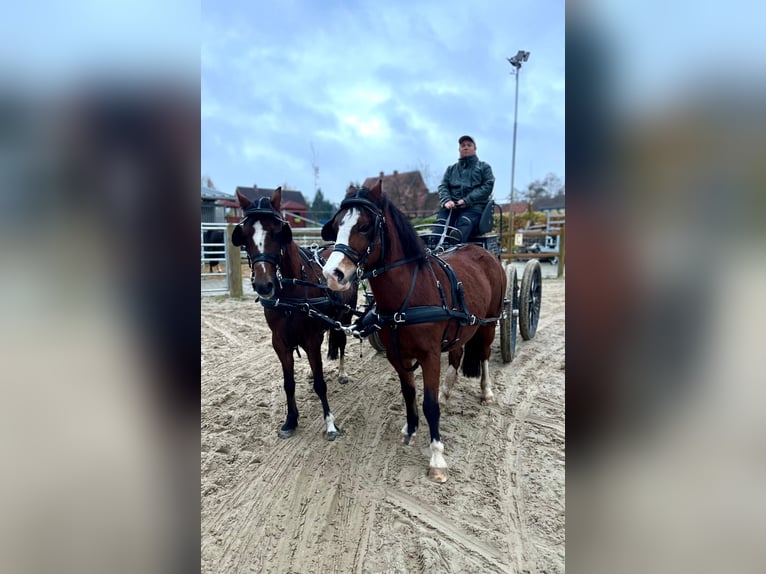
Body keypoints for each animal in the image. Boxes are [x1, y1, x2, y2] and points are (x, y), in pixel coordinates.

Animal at [232, 188, 358, 440]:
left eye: (277, 232)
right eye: (245, 235)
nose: (264, 285)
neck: (291, 295)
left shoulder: (311, 339)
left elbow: (320, 383)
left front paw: (330, 424)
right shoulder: (279, 342)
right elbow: (288, 383)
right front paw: (290, 420)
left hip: (345, 318)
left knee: (341, 343)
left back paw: (341, 372)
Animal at [320, 183, 508, 482]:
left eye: (364, 226)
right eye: (337, 225)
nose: (331, 274)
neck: (410, 293)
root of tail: (485, 253)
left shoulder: (429, 355)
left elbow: (429, 405)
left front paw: (437, 458)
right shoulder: (397, 355)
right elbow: (409, 392)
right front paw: (410, 428)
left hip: (489, 323)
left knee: (485, 354)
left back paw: (486, 392)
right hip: (462, 327)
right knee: (456, 354)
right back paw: (447, 391)